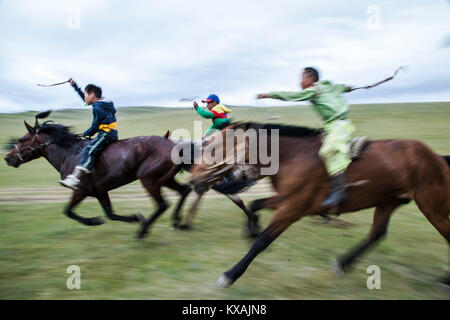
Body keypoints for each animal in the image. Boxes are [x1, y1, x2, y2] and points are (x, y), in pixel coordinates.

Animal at [4, 111, 192, 239]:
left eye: (21, 140)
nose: (7, 158)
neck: (70, 153)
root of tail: (173, 144)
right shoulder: (100, 191)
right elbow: (110, 214)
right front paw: (134, 218)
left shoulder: (80, 190)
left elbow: (68, 211)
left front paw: (94, 221)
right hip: (164, 179)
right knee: (184, 190)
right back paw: (177, 222)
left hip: (149, 179)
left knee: (163, 204)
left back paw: (143, 232)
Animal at [189, 122, 450, 288]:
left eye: (213, 148)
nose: (192, 179)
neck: (292, 157)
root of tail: (437, 156)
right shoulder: (287, 200)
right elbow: (255, 205)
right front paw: (251, 229)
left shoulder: (292, 209)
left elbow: (262, 241)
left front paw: (230, 275)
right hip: (389, 200)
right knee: (377, 234)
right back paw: (343, 264)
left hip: (431, 205)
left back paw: (444, 280)